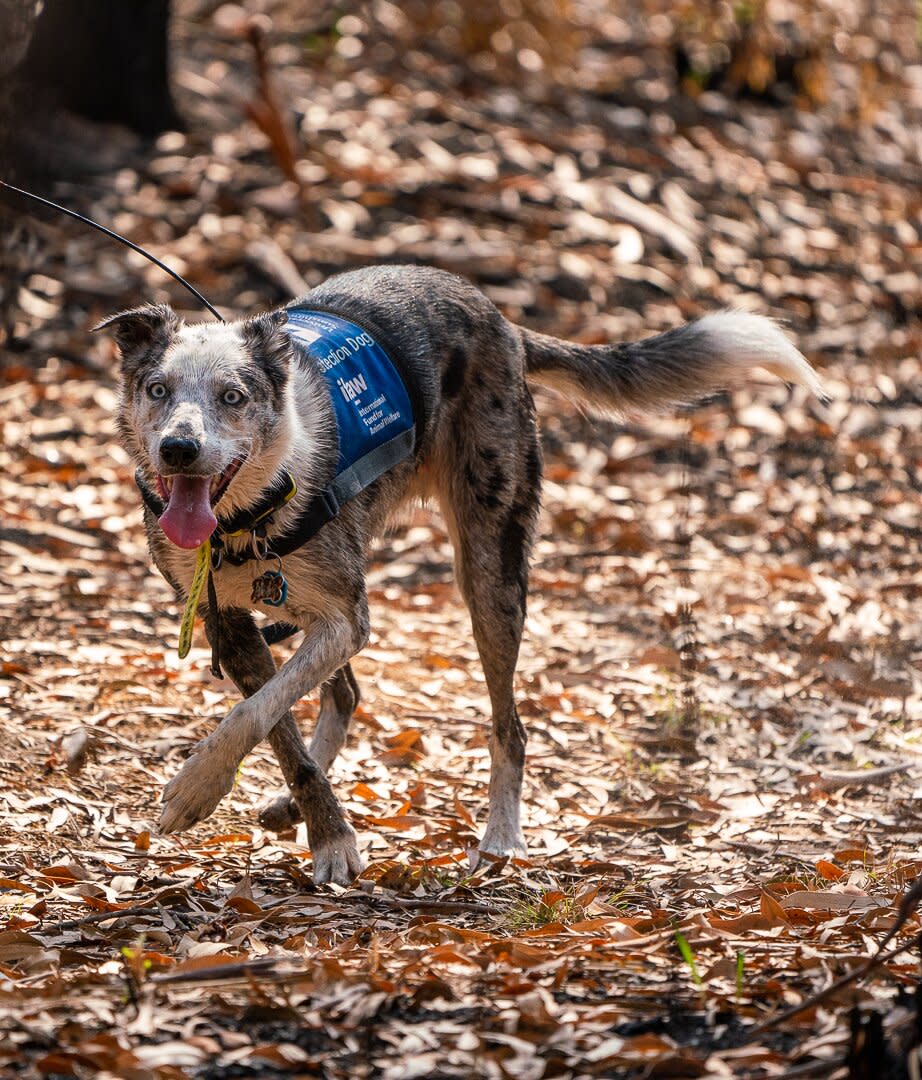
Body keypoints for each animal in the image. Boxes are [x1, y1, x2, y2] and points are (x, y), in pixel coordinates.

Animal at [100, 263, 824, 885]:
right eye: (157, 390)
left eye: (234, 397)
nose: (179, 449)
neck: (249, 515)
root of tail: (500, 321)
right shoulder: (228, 622)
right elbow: (276, 726)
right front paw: (321, 826)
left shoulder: (345, 618)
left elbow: (253, 713)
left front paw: (204, 792)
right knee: (347, 693)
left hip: (489, 575)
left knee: (510, 727)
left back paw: (501, 838)